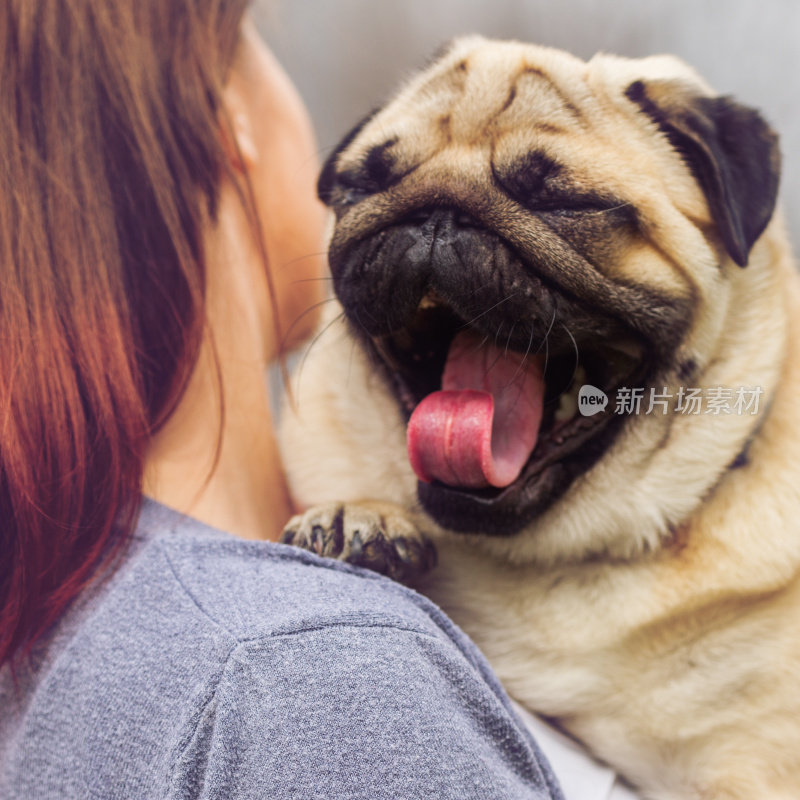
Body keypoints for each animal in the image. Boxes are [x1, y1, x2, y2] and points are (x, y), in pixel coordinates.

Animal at [276, 37, 800, 800]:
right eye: (364, 184)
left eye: (563, 200)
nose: (438, 214)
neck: (544, 560)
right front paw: (361, 519)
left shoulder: (748, 761)